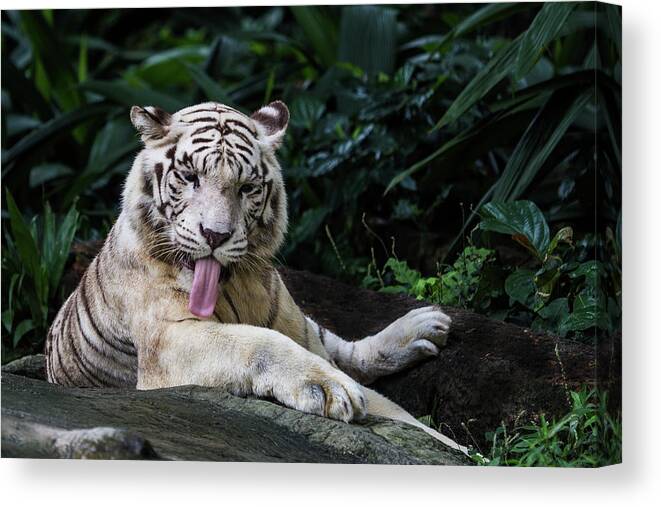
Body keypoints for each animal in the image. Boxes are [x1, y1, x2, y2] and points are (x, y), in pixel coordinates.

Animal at [46, 99, 462, 452]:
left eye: (246, 187)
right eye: (190, 177)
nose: (215, 235)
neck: (235, 286)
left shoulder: (295, 328)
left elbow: (399, 412)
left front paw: (457, 449)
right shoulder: (167, 342)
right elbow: (258, 342)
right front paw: (331, 389)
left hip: (308, 326)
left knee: (345, 349)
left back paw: (425, 326)